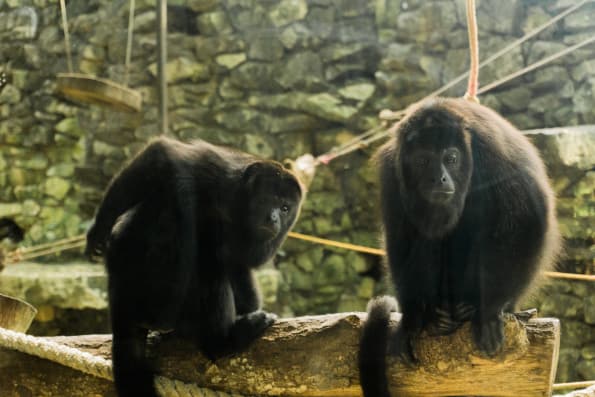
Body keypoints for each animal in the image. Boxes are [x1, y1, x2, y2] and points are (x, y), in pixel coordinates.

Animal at [86, 137, 304, 396]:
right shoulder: (219, 174)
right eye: (266, 200)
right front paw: (98, 230)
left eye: (285, 208)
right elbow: (163, 157)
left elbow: (244, 259)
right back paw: (221, 342)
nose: (273, 218)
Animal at [358, 96, 564, 396]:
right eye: (423, 160)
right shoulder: (392, 171)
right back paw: (437, 316)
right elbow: (402, 237)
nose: (439, 178)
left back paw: (471, 308)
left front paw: (489, 312)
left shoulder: (493, 152)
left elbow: (525, 220)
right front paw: (412, 320)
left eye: (451, 159)